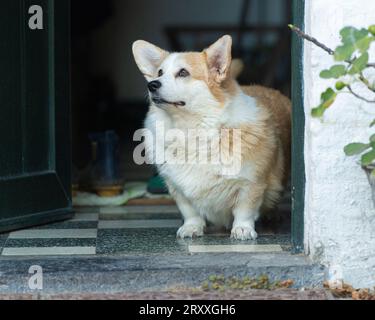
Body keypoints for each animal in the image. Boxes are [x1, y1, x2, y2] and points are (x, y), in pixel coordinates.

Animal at [134, 35, 292, 240]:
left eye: (183, 73)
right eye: (159, 73)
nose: (152, 85)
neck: (191, 129)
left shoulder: (251, 183)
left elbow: (244, 209)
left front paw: (242, 229)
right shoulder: (177, 188)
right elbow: (189, 211)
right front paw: (192, 227)